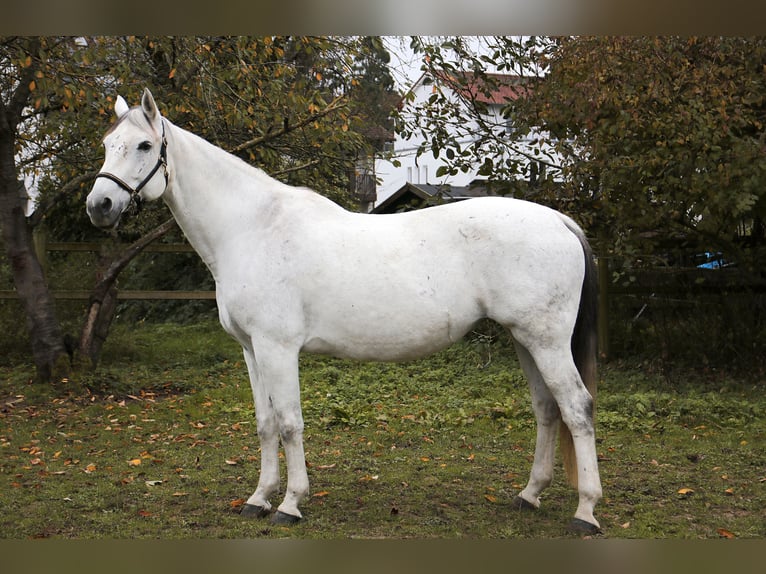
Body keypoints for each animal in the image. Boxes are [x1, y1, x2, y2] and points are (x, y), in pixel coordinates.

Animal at [87, 90, 604, 536]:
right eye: (108, 145)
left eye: (144, 144)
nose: (100, 206)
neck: (252, 228)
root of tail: (559, 220)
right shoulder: (252, 351)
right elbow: (265, 423)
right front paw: (258, 499)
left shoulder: (278, 348)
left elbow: (290, 422)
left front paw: (290, 504)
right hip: (524, 340)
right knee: (547, 408)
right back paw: (529, 495)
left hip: (546, 341)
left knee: (577, 408)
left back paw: (585, 511)